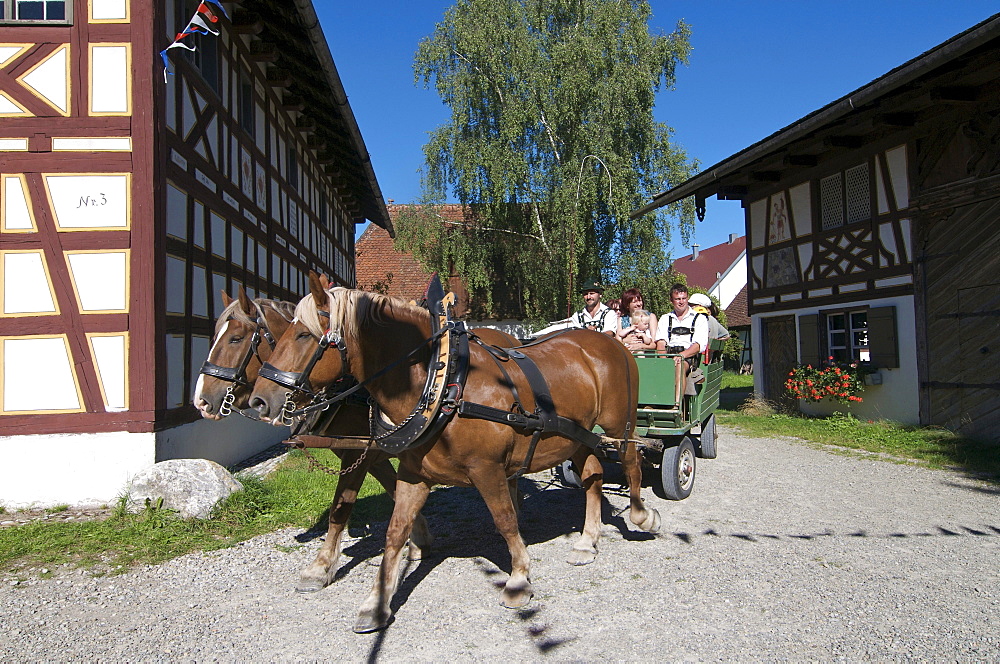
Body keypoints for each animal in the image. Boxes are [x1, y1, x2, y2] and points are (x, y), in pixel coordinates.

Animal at [247, 278, 660, 632]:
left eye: (303, 335)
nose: (259, 401)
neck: (442, 384)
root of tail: (607, 343)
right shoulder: (414, 475)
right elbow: (395, 532)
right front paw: (376, 602)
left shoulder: (487, 469)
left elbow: (505, 520)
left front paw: (518, 579)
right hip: (574, 436)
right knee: (592, 474)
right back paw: (587, 541)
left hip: (618, 425)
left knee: (631, 463)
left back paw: (642, 516)